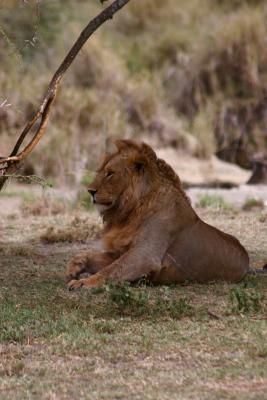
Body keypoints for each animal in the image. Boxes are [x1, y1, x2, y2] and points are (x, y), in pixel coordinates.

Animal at [67, 139, 264, 290]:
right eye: (101, 172)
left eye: (110, 174)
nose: (90, 191)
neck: (130, 211)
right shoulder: (121, 251)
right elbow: (87, 255)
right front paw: (74, 268)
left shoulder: (145, 255)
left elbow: (111, 270)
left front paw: (83, 282)